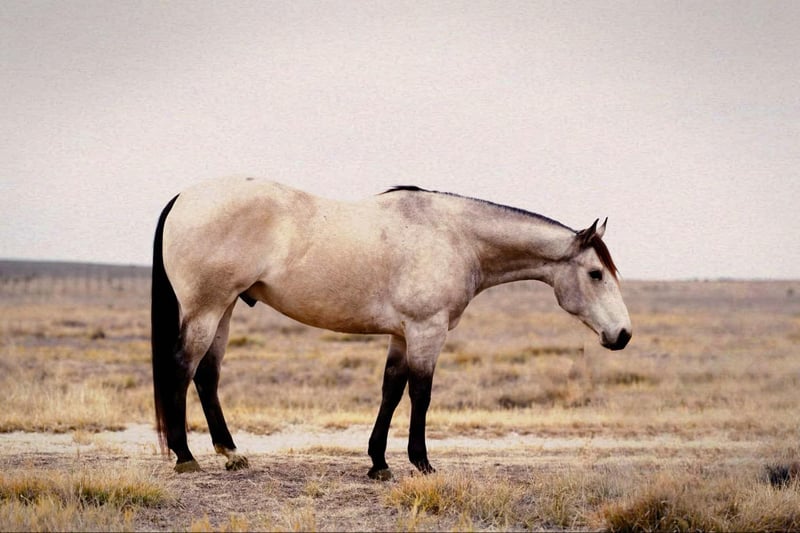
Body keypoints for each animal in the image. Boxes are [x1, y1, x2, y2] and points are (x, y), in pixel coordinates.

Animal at [151, 177, 632, 479]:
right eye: (595, 274)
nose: (623, 335)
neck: (456, 236)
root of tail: (184, 196)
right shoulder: (426, 331)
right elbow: (421, 394)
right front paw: (421, 463)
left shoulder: (402, 335)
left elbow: (391, 391)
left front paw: (378, 463)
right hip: (207, 309)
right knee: (182, 369)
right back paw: (185, 457)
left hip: (225, 309)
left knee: (207, 376)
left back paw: (231, 454)